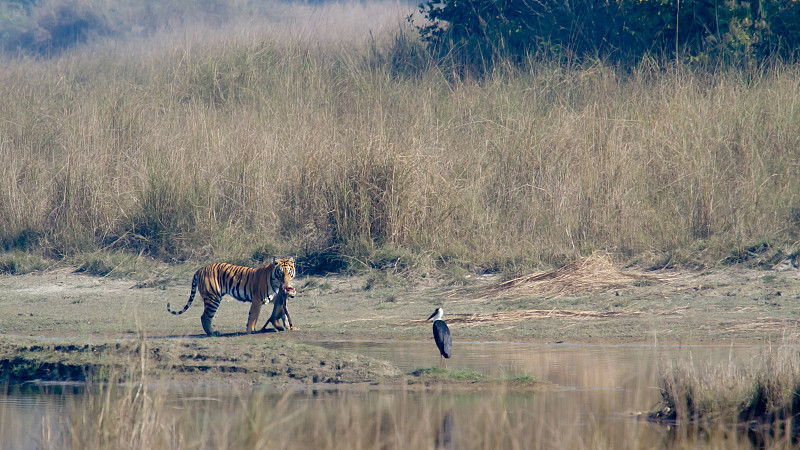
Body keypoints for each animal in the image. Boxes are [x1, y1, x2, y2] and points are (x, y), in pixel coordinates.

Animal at [167, 256, 296, 334]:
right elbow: (253, 316)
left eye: (289, 273)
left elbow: (284, 313)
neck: (276, 283)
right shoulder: (257, 299)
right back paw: (212, 333)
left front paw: (289, 327)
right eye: (281, 273)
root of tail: (201, 268)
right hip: (213, 298)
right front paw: (251, 330)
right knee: (205, 316)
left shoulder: (277, 299)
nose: (286, 284)